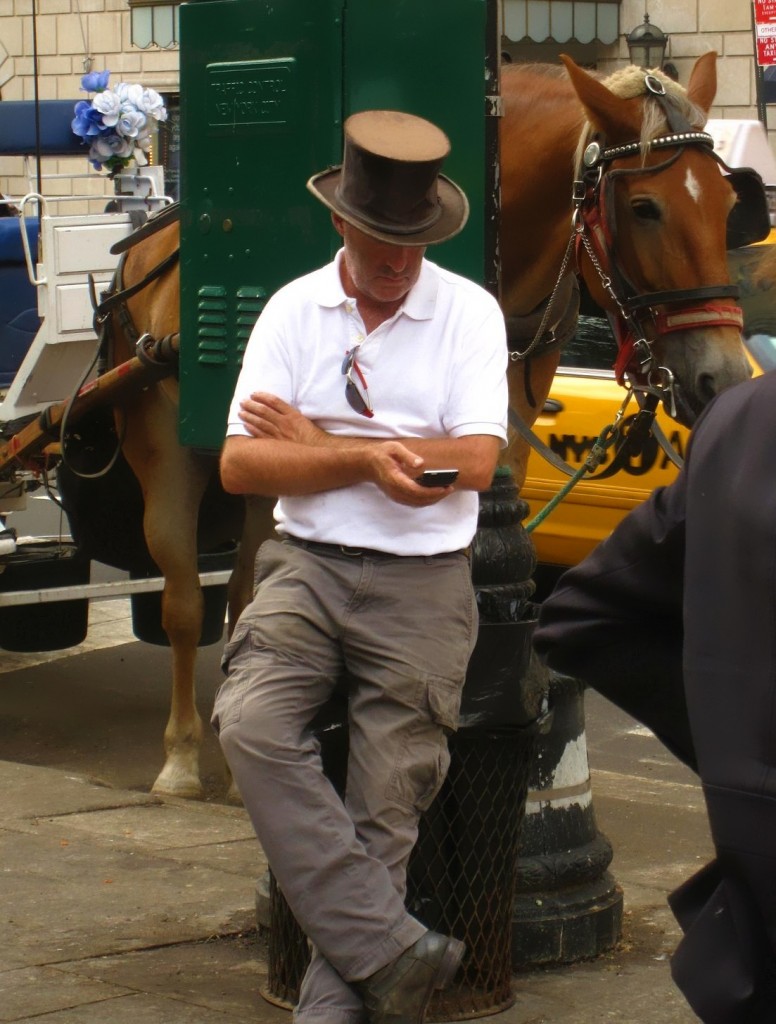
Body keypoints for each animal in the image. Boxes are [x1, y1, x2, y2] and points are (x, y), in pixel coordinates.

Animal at [81, 49, 757, 798]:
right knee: (182, 602)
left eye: (730, 207)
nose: (725, 379)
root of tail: (143, 251)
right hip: (168, 450)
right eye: (643, 208)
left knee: (244, 589)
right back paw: (182, 757)